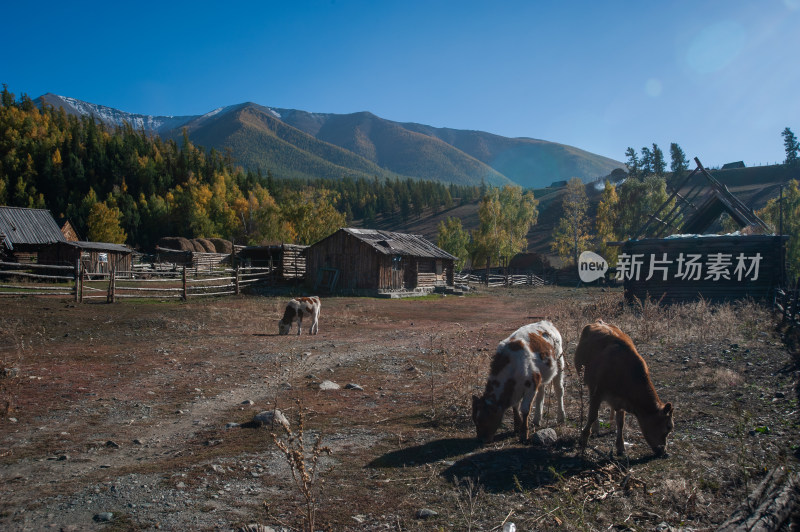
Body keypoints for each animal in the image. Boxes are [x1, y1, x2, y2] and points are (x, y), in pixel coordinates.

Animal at [576, 320, 676, 458]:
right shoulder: (597, 391)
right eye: (669, 427)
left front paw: (620, 447)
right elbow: (592, 415)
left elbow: (621, 422)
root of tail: (599, 321)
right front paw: (583, 441)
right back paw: (595, 429)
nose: (665, 452)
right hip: (589, 384)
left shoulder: (622, 400)